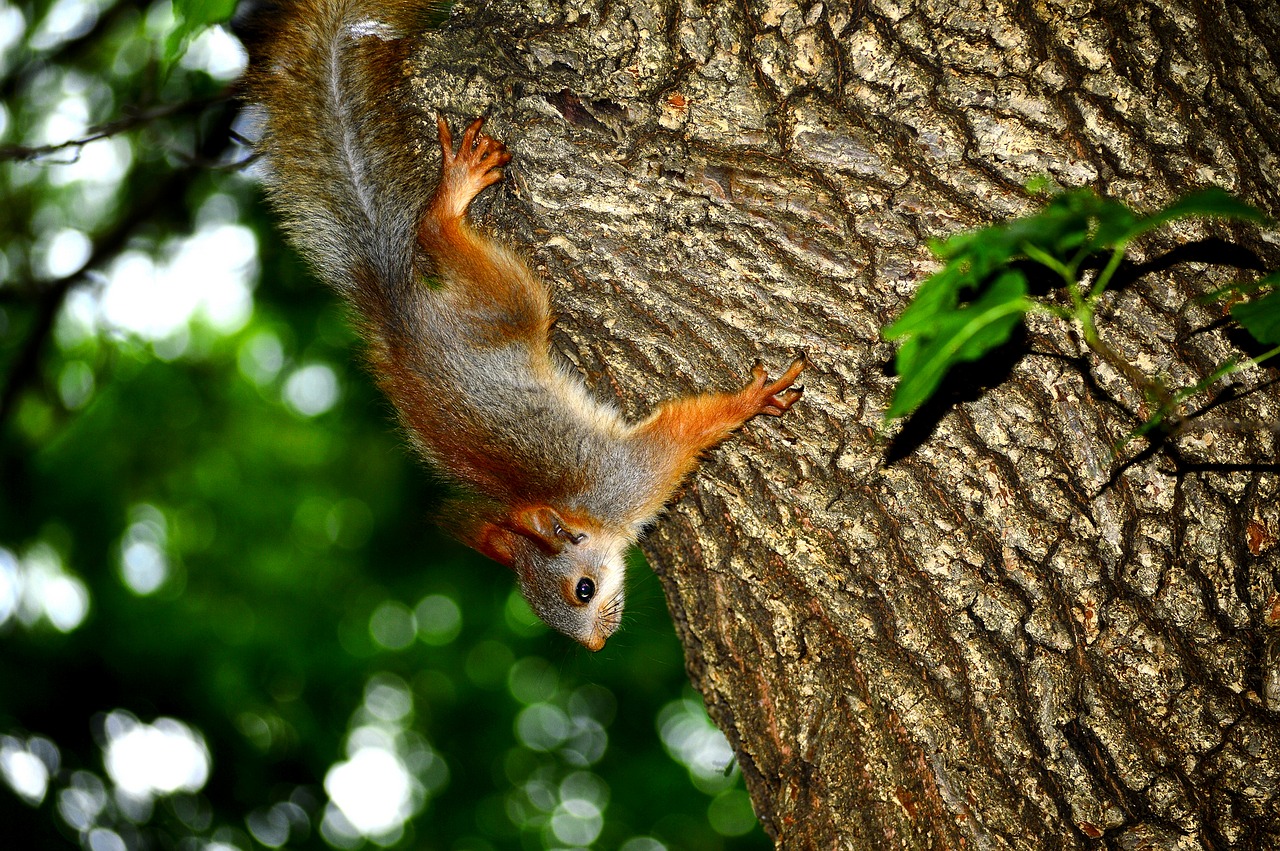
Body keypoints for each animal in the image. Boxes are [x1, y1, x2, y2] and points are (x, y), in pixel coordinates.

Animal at [235, 0, 803, 647]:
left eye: (582, 590)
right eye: (568, 602)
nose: (596, 643)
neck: (588, 512)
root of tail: (397, 313)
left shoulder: (634, 473)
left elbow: (688, 428)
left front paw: (748, 402)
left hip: (510, 302)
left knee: (437, 237)